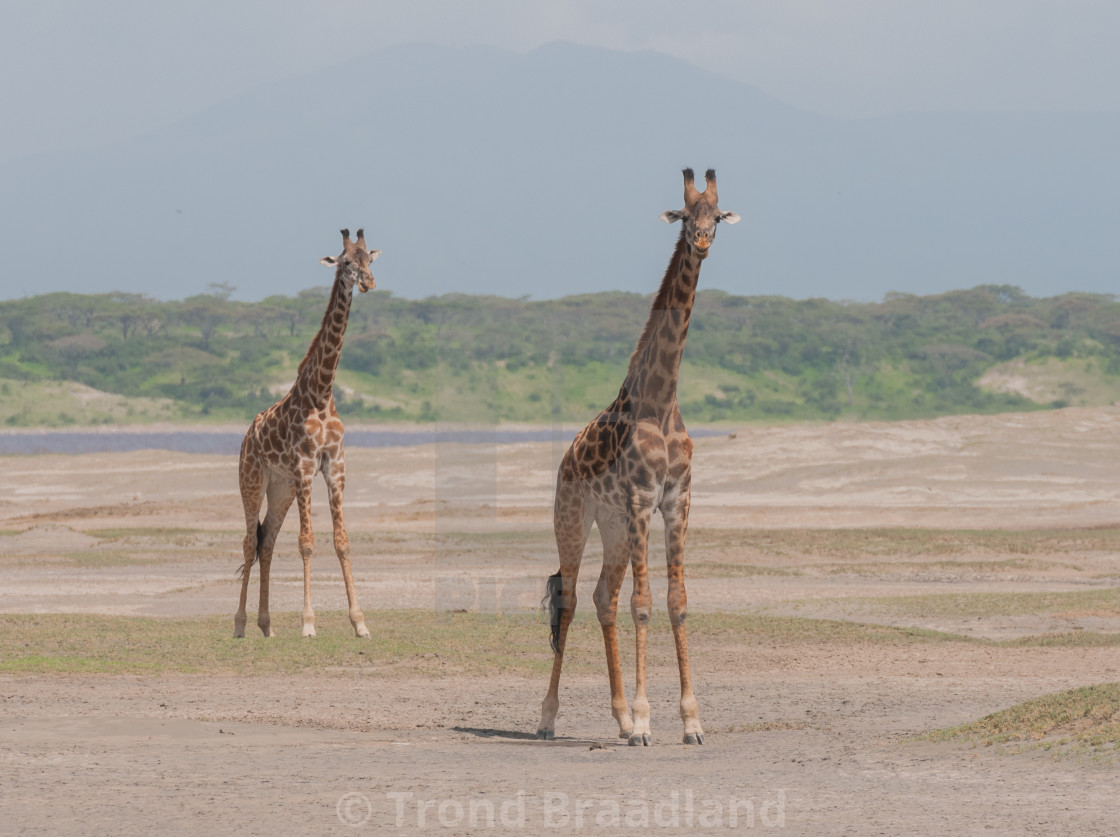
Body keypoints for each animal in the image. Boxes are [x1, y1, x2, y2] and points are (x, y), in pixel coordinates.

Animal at [232, 229, 380, 640]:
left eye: (369, 259)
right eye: (345, 262)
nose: (368, 282)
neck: (322, 392)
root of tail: (247, 437)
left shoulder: (334, 465)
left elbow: (342, 542)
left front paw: (360, 622)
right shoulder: (303, 466)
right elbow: (307, 543)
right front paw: (309, 623)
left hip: (280, 489)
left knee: (266, 543)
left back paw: (266, 626)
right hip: (252, 481)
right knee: (249, 542)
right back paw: (240, 625)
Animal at [537, 168, 739, 748]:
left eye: (717, 216)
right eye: (685, 214)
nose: (702, 241)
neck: (662, 400)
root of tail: (565, 459)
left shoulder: (676, 501)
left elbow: (677, 603)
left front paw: (690, 722)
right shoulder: (641, 498)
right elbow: (644, 606)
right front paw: (649, 721)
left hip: (614, 529)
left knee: (603, 597)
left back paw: (621, 718)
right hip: (575, 518)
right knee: (571, 599)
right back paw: (548, 718)